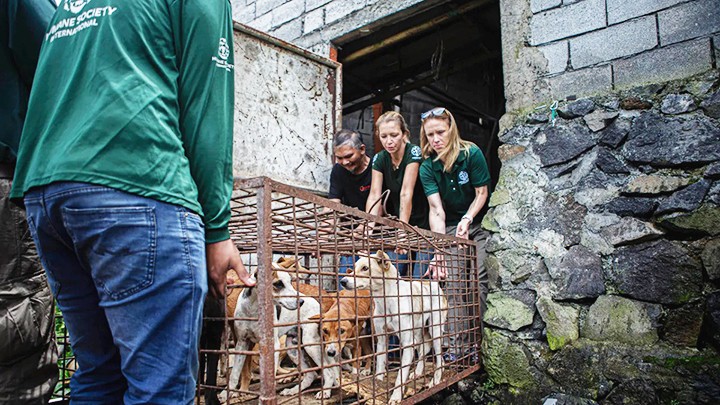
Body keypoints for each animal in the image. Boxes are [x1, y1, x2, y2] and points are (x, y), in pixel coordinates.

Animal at [340, 251, 448, 402]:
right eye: (354, 268)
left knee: (440, 359)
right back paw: (417, 373)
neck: (386, 300)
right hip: (419, 334)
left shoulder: (407, 343)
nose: (343, 281)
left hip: (435, 331)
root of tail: (434, 284)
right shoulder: (381, 340)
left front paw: (396, 397)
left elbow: (400, 376)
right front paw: (378, 385)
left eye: (365, 268)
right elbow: (379, 367)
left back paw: (435, 380)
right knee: (423, 353)